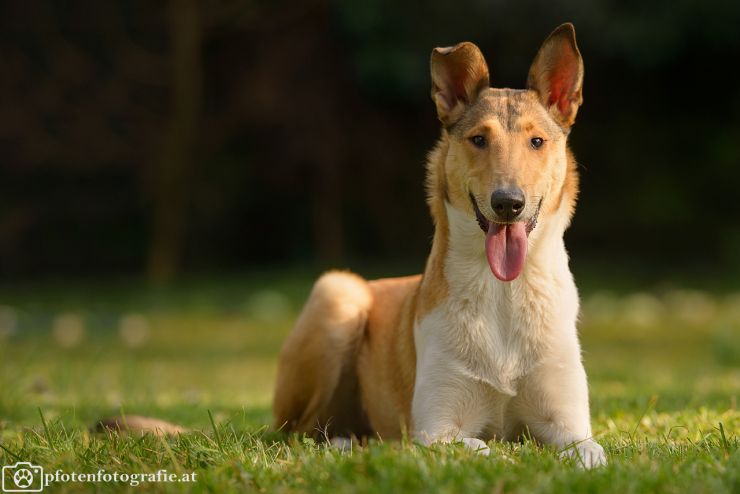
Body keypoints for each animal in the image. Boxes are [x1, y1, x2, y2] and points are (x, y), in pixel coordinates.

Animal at [272, 23, 608, 468]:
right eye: (479, 139)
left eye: (537, 142)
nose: (508, 203)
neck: (503, 291)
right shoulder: (436, 429)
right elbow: (484, 447)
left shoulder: (568, 426)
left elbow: (591, 452)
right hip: (337, 294)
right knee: (296, 432)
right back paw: (347, 442)